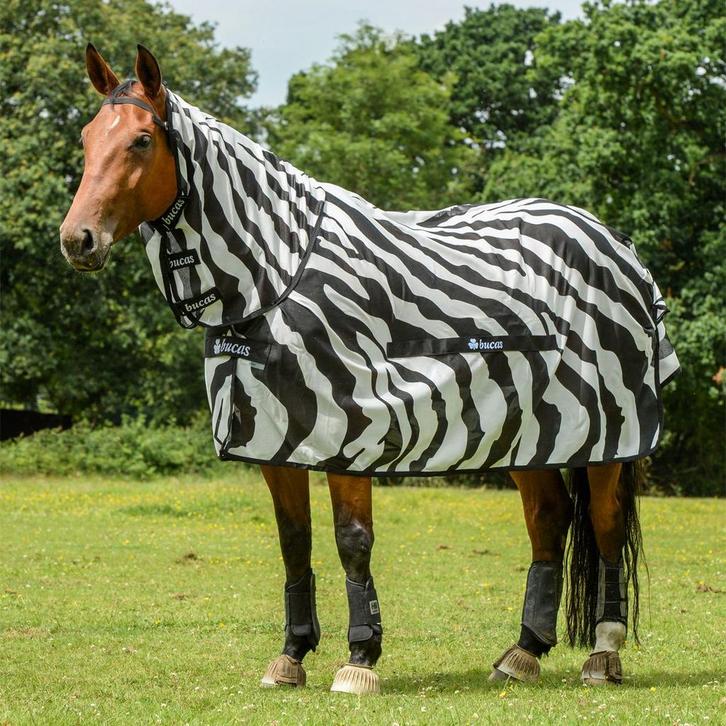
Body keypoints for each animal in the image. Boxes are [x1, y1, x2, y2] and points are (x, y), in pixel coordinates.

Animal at [60, 44, 679, 694]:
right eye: (86, 139)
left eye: (141, 141)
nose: (78, 240)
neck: (278, 272)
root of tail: (616, 243)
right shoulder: (276, 438)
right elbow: (294, 543)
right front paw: (292, 655)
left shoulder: (350, 429)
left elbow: (352, 542)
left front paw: (360, 659)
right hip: (529, 429)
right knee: (550, 518)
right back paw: (523, 652)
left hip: (608, 433)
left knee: (606, 527)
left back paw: (603, 656)